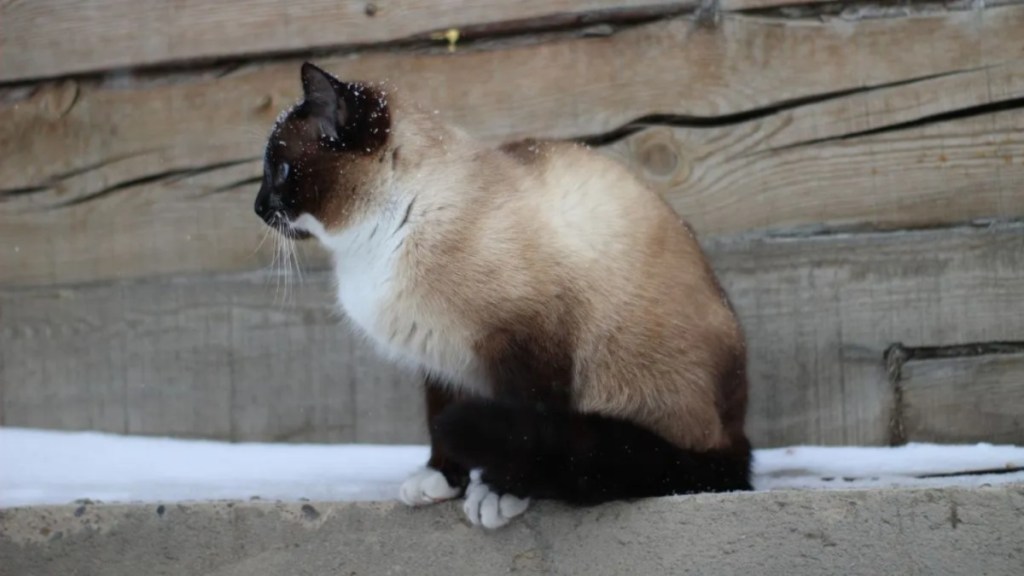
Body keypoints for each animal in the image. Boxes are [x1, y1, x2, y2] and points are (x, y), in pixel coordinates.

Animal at [256, 61, 753, 524]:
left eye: (280, 169)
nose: (258, 207)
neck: (379, 240)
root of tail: (736, 434)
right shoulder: (440, 360)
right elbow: (440, 420)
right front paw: (442, 480)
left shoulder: (526, 344)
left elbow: (525, 427)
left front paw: (500, 492)